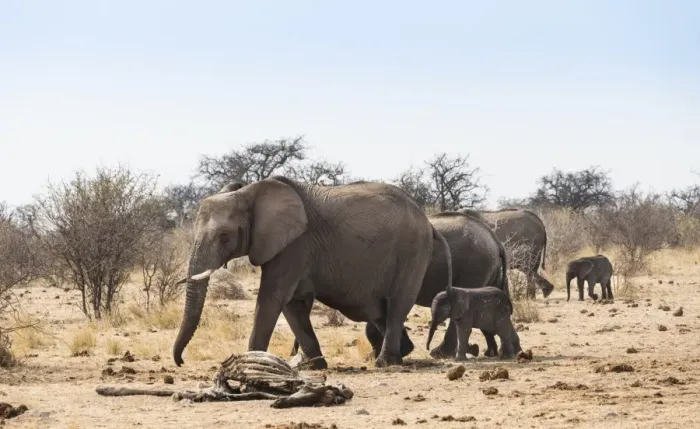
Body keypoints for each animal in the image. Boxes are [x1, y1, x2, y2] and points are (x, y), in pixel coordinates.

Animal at [172, 176, 453, 369]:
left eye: (224, 236)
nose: (181, 362)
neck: (250, 192)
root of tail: (428, 222)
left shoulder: (294, 244)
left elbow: (272, 297)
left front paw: (251, 363)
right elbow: (292, 304)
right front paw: (313, 365)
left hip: (412, 252)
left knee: (396, 306)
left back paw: (385, 362)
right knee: (380, 311)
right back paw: (402, 353)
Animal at [291, 210, 509, 360]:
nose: (293, 354)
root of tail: (495, 240)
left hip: (474, 267)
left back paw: (439, 353)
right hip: (489, 272)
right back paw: (490, 352)